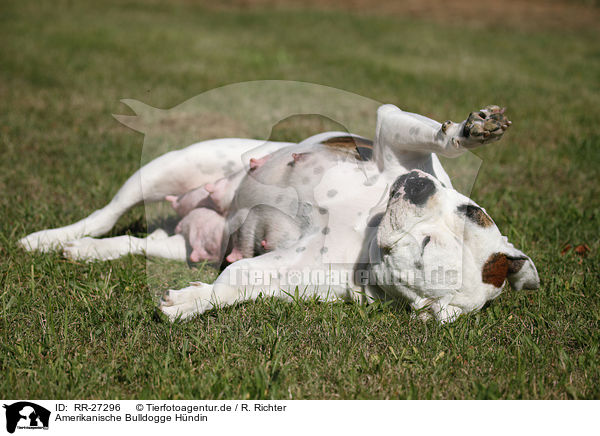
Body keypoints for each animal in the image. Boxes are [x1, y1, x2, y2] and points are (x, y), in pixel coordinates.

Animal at [18, 104, 540, 324]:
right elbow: (433, 134)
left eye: (426, 249)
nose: (418, 186)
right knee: (106, 214)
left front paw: (192, 302)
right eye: (472, 209)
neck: (368, 229)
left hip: (188, 242)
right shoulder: (393, 135)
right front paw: (473, 130)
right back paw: (49, 238)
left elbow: (235, 281)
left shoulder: (293, 273)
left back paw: (85, 251)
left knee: (135, 242)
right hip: (169, 167)